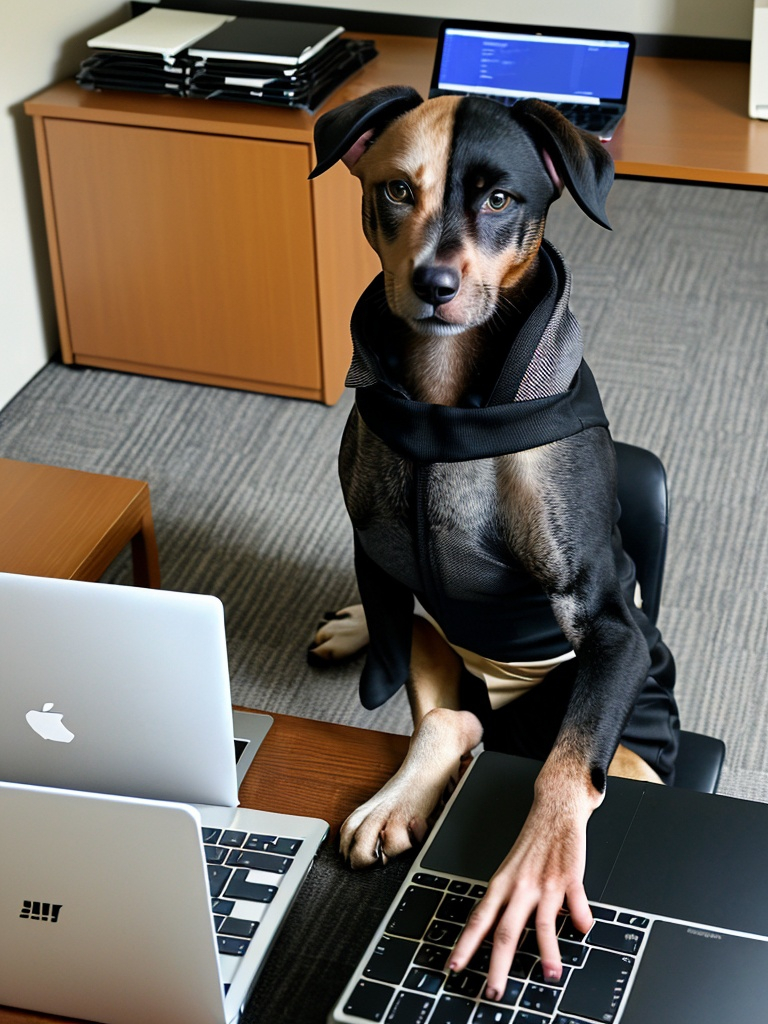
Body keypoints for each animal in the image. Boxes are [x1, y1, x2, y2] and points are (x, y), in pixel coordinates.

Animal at [307, 88, 679, 999]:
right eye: (397, 190)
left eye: (502, 198)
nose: (433, 284)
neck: (443, 404)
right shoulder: (376, 552)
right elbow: (397, 635)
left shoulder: (609, 623)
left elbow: (565, 770)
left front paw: (535, 869)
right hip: (432, 635)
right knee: (449, 714)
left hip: (635, 738)